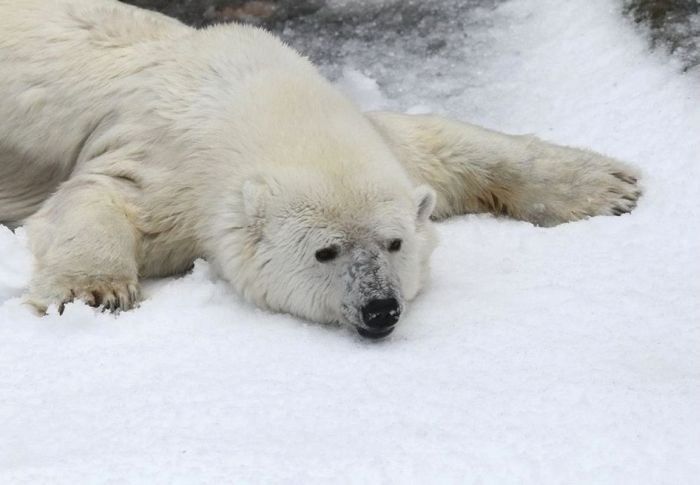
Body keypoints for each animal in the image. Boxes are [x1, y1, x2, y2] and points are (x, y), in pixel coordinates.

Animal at [0, 0, 640, 336]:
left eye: (394, 243)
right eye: (324, 251)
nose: (381, 309)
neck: (253, 99)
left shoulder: (378, 142)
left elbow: (441, 144)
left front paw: (610, 185)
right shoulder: (167, 166)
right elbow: (97, 199)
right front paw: (93, 293)